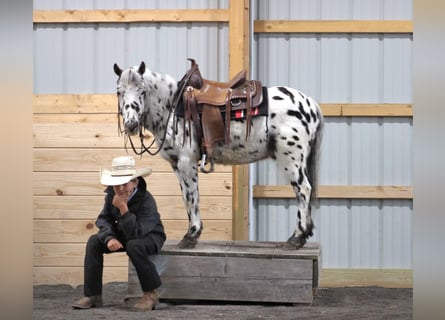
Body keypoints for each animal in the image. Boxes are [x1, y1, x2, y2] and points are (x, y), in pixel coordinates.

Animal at [112, 60, 324, 250]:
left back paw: (296, 238)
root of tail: (311, 105)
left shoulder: (186, 162)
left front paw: (191, 235)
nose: (131, 124)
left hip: (291, 158)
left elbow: (191, 197)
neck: (172, 106)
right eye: (119, 91)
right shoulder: (177, 164)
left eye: (143, 91)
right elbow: (187, 197)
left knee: (303, 190)